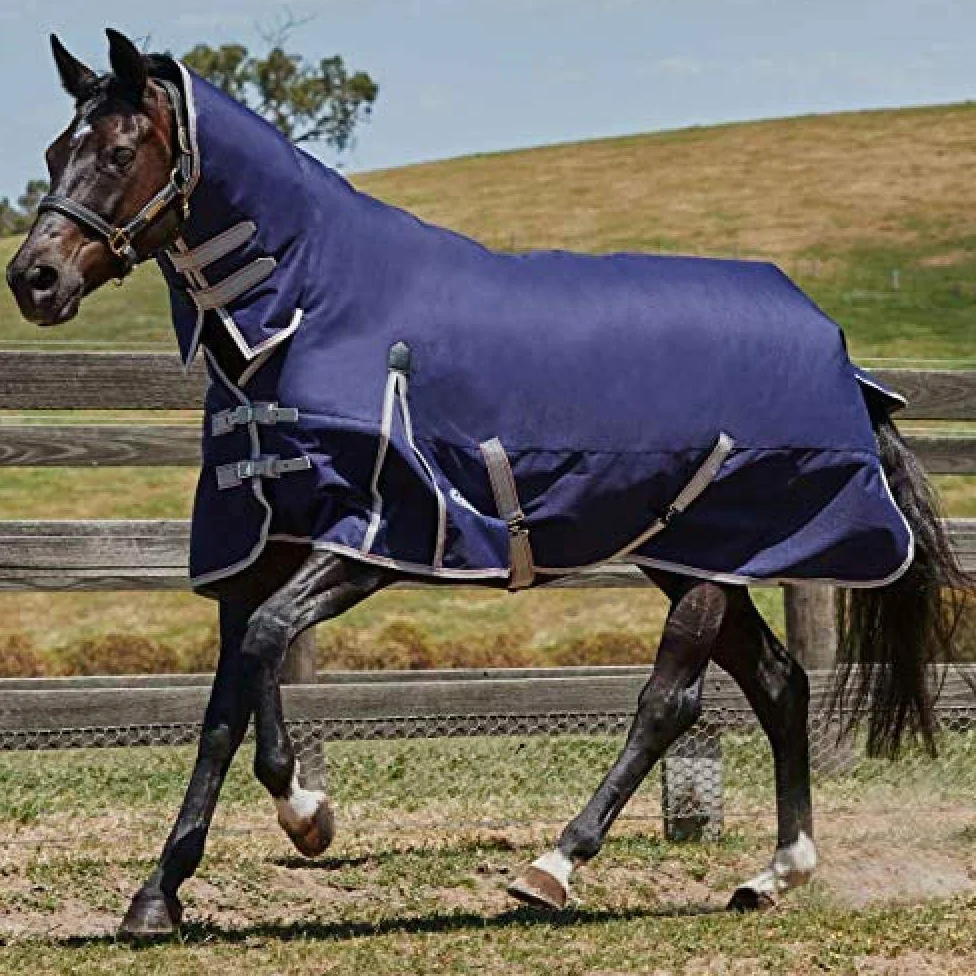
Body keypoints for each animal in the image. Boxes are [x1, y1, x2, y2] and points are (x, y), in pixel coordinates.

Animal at [6, 29, 967, 938]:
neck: (309, 312)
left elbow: (267, 649)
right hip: (694, 555)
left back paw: (555, 867)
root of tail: (838, 351)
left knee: (672, 700)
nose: (34, 280)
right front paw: (161, 894)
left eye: (120, 152)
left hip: (711, 558)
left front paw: (306, 815)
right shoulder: (263, 544)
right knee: (778, 682)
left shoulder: (381, 536)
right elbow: (230, 695)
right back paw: (774, 874)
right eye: (55, 150)